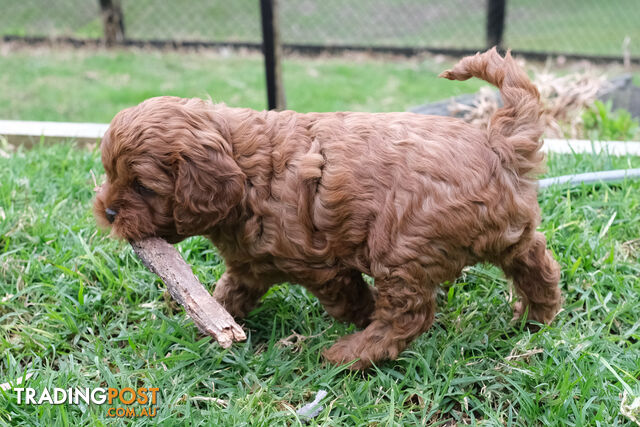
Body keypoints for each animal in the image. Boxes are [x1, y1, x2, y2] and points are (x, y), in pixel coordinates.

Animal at [94, 48, 560, 372]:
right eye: (109, 172)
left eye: (142, 186)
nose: (108, 213)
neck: (248, 174)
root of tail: (497, 145)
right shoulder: (250, 264)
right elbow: (228, 293)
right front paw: (209, 316)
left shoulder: (323, 266)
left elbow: (350, 300)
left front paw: (361, 319)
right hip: (507, 231)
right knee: (537, 262)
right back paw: (536, 317)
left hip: (402, 245)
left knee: (410, 314)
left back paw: (351, 354)